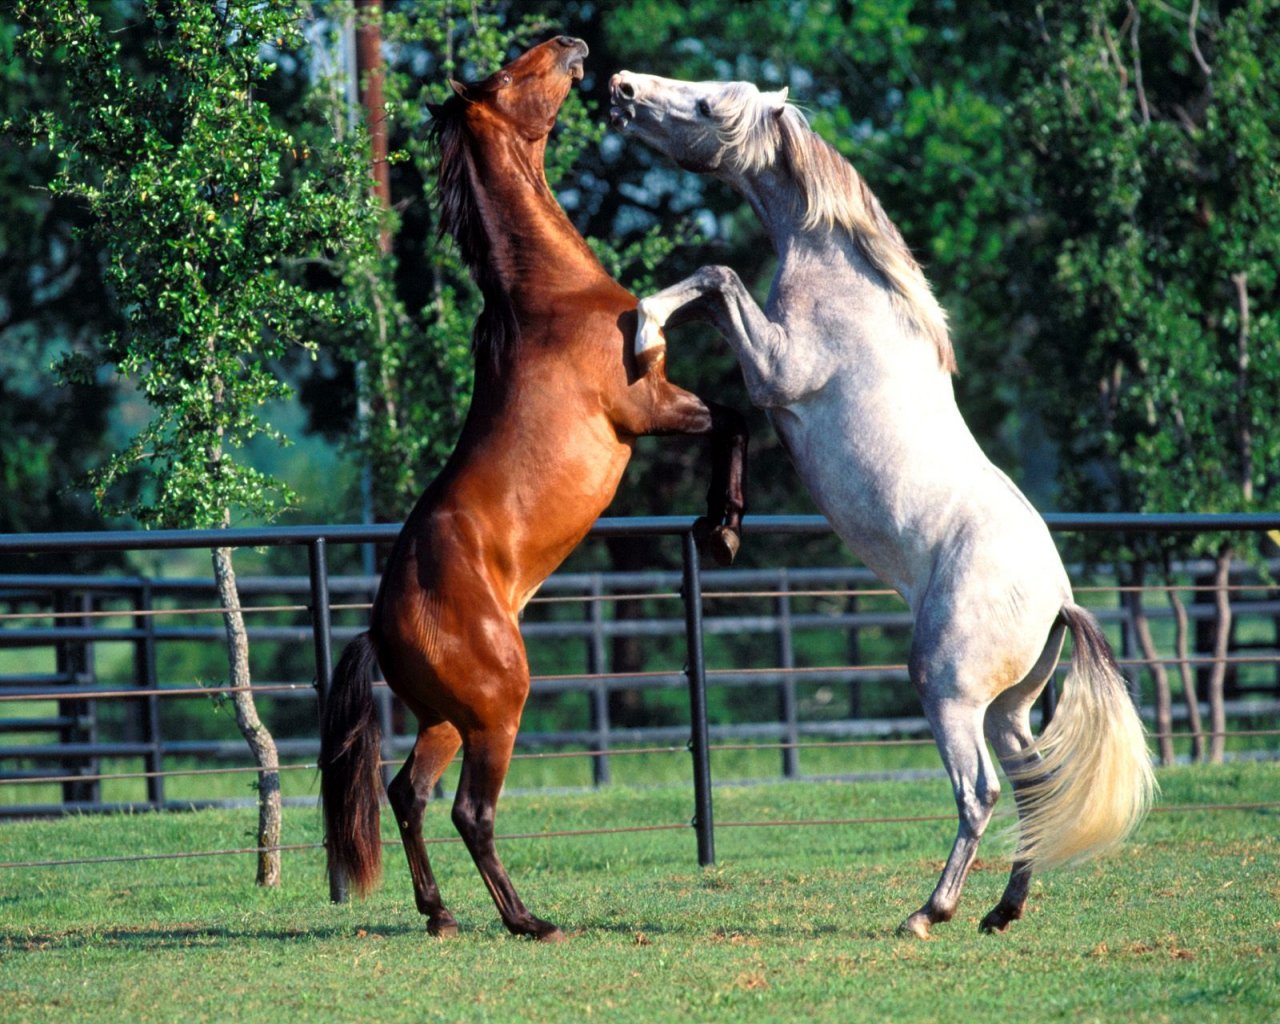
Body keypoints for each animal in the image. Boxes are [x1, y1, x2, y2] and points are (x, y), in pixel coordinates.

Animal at [319, 38, 748, 943]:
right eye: (512, 74)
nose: (572, 45)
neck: (551, 295)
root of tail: (381, 626)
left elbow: (734, 419)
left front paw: (723, 523)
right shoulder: (645, 407)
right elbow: (734, 415)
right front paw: (723, 525)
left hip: (448, 718)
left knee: (407, 793)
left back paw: (441, 915)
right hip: (498, 709)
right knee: (469, 811)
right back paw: (527, 920)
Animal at [608, 71, 1155, 938]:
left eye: (705, 104)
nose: (622, 87)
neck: (848, 284)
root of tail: (1059, 598)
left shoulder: (777, 369)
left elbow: (717, 276)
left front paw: (646, 329)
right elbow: (717, 283)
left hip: (948, 689)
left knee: (981, 792)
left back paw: (930, 912)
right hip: (1006, 708)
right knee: (1033, 784)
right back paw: (1001, 910)